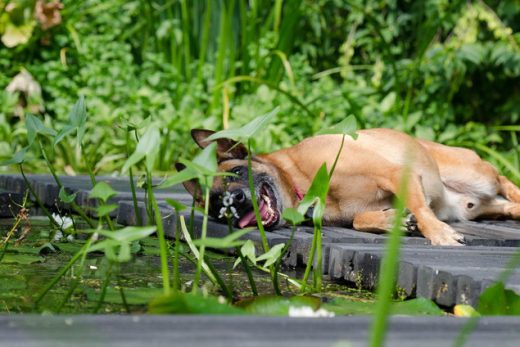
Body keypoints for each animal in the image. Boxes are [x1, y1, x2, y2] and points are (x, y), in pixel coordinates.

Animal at [182, 128, 520, 247]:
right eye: (217, 205)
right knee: (503, 206)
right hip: (474, 207)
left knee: (504, 180)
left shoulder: (396, 173)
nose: (237, 200)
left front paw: (438, 234)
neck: (302, 181)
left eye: (237, 172)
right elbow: (358, 220)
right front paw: (391, 221)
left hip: (477, 174)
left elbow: (421, 209)